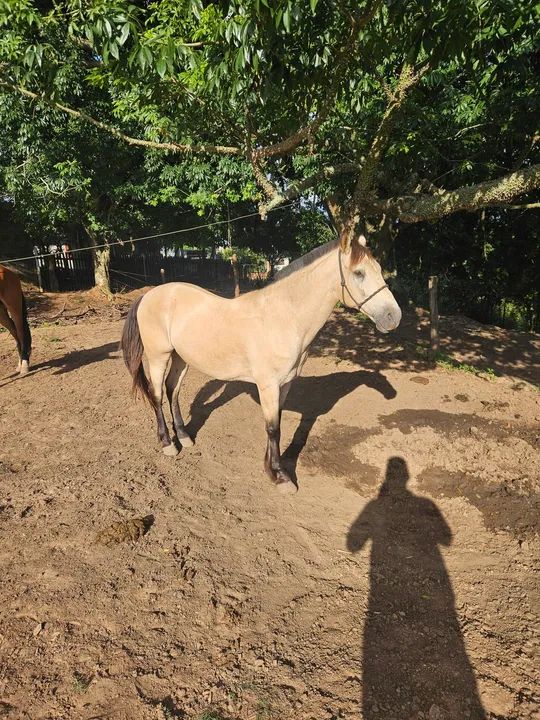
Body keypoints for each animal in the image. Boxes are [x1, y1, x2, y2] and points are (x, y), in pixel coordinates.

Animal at [121, 233, 402, 493]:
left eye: (378, 269)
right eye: (359, 273)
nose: (393, 317)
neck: (283, 317)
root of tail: (149, 295)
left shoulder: (284, 384)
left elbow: (276, 423)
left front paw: (270, 467)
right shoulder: (268, 385)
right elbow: (272, 428)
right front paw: (280, 476)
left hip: (181, 358)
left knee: (173, 391)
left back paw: (184, 437)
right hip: (159, 356)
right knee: (157, 394)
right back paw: (168, 444)